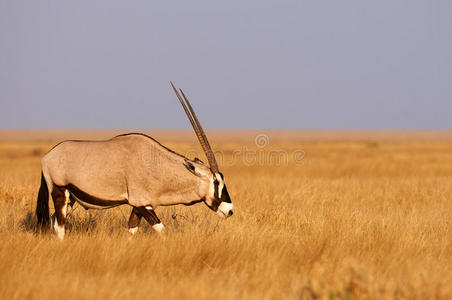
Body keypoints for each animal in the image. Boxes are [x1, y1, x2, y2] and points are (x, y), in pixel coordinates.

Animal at [35, 82, 233, 239]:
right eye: (216, 182)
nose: (230, 210)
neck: (157, 166)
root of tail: (48, 156)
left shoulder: (139, 206)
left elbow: (131, 231)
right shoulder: (142, 203)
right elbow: (162, 230)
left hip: (71, 198)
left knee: (54, 222)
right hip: (59, 191)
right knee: (60, 226)